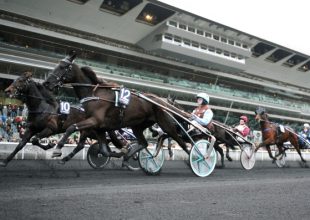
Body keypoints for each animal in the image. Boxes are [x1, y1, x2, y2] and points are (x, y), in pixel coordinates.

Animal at [43, 51, 194, 162]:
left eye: (62, 67)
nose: (46, 83)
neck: (94, 94)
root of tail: (161, 101)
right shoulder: (99, 128)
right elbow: (104, 151)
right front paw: (123, 151)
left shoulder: (95, 121)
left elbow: (71, 127)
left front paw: (57, 149)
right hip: (138, 126)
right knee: (144, 143)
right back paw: (130, 156)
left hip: (165, 123)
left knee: (181, 141)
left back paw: (196, 159)